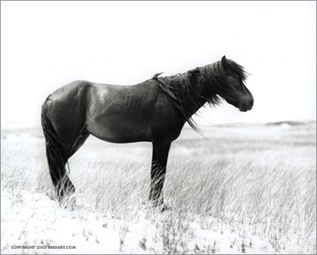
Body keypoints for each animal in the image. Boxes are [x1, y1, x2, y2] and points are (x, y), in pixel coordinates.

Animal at [41, 55, 252, 207]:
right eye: (235, 77)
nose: (250, 102)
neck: (172, 98)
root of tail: (52, 95)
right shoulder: (162, 142)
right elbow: (159, 173)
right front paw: (158, 205)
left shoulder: (157, 143)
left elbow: (155, 172)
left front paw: (154, 202)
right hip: (67, 141)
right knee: (57, 166)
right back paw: (67, 198)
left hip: (77, 139)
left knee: (59, 166)